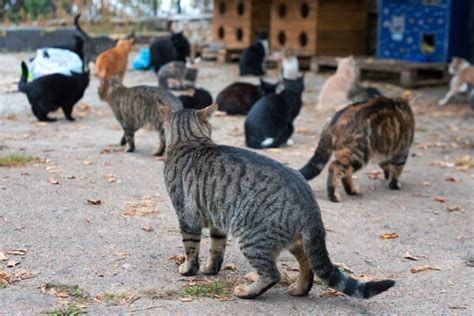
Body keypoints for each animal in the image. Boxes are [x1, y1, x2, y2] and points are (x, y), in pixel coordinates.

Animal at [157, 105, 394, 300]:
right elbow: (216, 249)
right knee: (307, 264)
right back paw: (299, 289)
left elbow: (191, 248)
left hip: (252, 239)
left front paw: (189, 270)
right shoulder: (217, 221)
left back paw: (247, 292)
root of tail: (310, 206)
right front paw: (210, 269)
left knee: (273, 274)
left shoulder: (186, 217)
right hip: (296, 241)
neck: (190, 140)